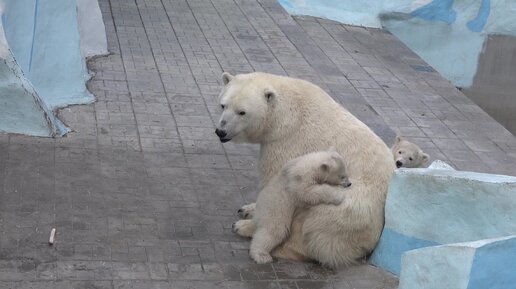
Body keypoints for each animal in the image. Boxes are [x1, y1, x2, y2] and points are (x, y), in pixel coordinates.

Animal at [215, 71, 396, 266]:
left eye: (242, 112)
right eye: (223, 105)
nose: (221, 131)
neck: (286, 114)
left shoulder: (286, 143)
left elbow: (274, 188)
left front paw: (244, 225)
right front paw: (247, 209)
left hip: (351, 209)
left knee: (314, 223)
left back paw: (281, 248)